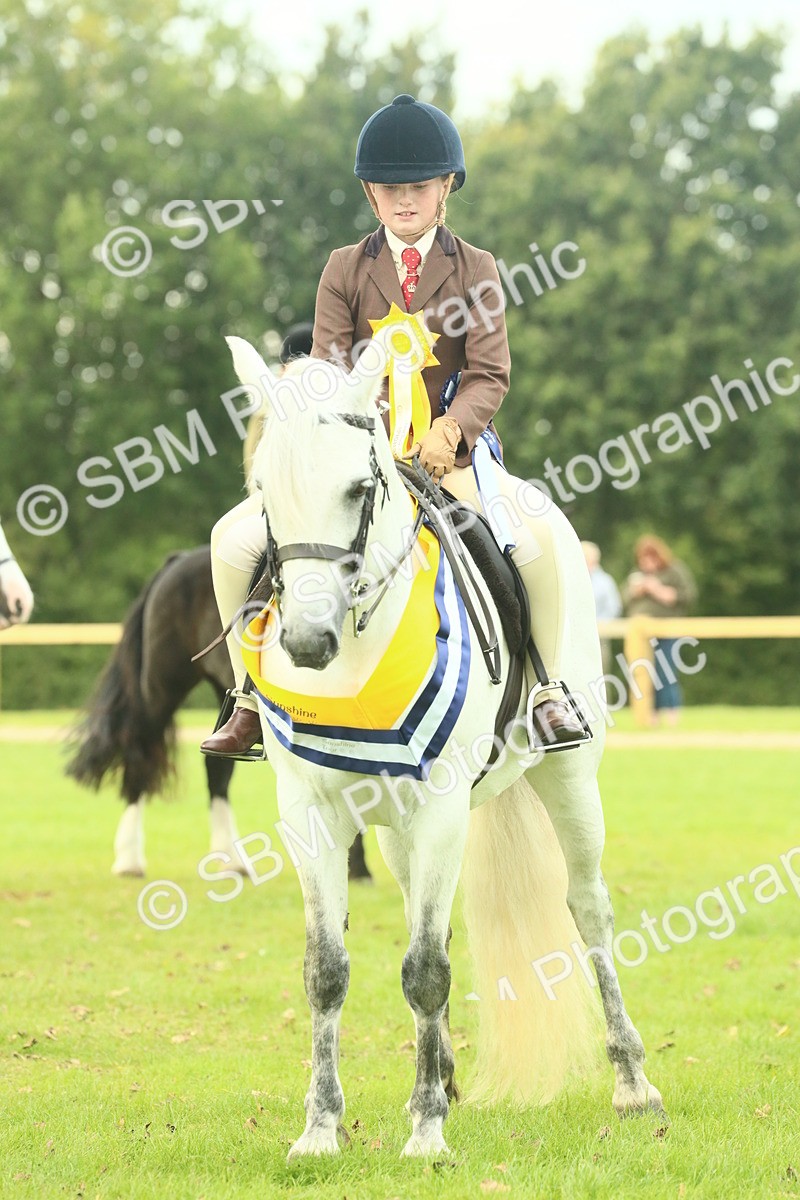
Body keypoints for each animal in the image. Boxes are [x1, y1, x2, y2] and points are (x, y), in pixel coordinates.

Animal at [65, 546, 372, 882]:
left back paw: (231, 859)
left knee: (216, 768)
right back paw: (129, 860)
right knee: (141, 755)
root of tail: (178, 560)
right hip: (161, 688)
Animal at [226, 332, 665, 1161]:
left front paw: (427, 1132)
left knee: (589, 909)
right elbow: (327, 970)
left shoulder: (440, 809)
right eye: (264, 491)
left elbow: (428, 969)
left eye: (360, 487)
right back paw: (449, 1074)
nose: (305, 642)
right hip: (395, 831)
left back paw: (633, 1085)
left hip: (567, 779)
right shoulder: (312, 814)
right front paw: (321, 1130)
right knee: (416, 910)